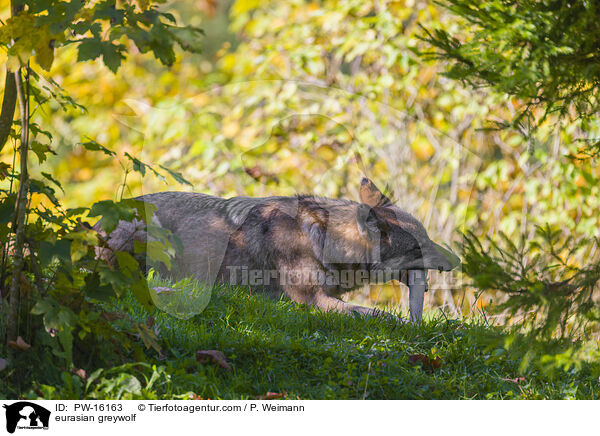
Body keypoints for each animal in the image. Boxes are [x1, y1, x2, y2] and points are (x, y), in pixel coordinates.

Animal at [96, 177, 460, 316]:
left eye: (427, 239)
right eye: (420, 245)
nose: (457, 260)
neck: (321, 239)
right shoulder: (313, 300)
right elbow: (379, 314)